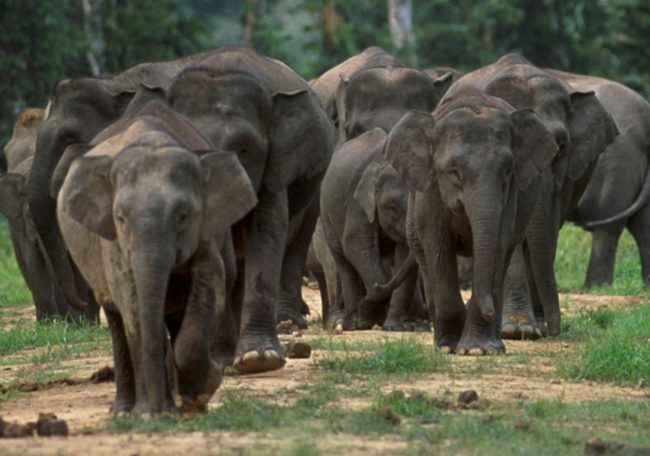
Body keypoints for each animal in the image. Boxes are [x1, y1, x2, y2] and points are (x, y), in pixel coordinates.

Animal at [56, 100, 258, 416]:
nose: (155, 412)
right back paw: (125, 411)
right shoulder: (112, 242)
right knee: (117, 318)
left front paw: (202, 391)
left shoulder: (205, 231)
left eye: (184, 215)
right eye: (120, 218)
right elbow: (132, 301)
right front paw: (151, 414)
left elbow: (210, 283)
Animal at [318, 128, 426, 332]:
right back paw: (352, 324)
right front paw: (365, 318)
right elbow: (355, 245)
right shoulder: (357, 203)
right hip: (326, 214)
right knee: (342, 260)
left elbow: (403, 254)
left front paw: (394, 327)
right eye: (392, 207)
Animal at [384, 88, 556, 352]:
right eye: (454, 172)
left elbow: (498, 245)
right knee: (423, 253)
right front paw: (449, 345)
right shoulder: (431, 190)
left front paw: (479, 349)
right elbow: (438, 244)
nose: (489, 312)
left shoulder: (511, 196)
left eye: (507, 171)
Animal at [438, 54, 616, 338]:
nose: (555, 329)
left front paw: (533, 328)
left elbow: (546, 229)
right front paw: (515, 329)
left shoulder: (566, 178)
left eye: (562, 147)